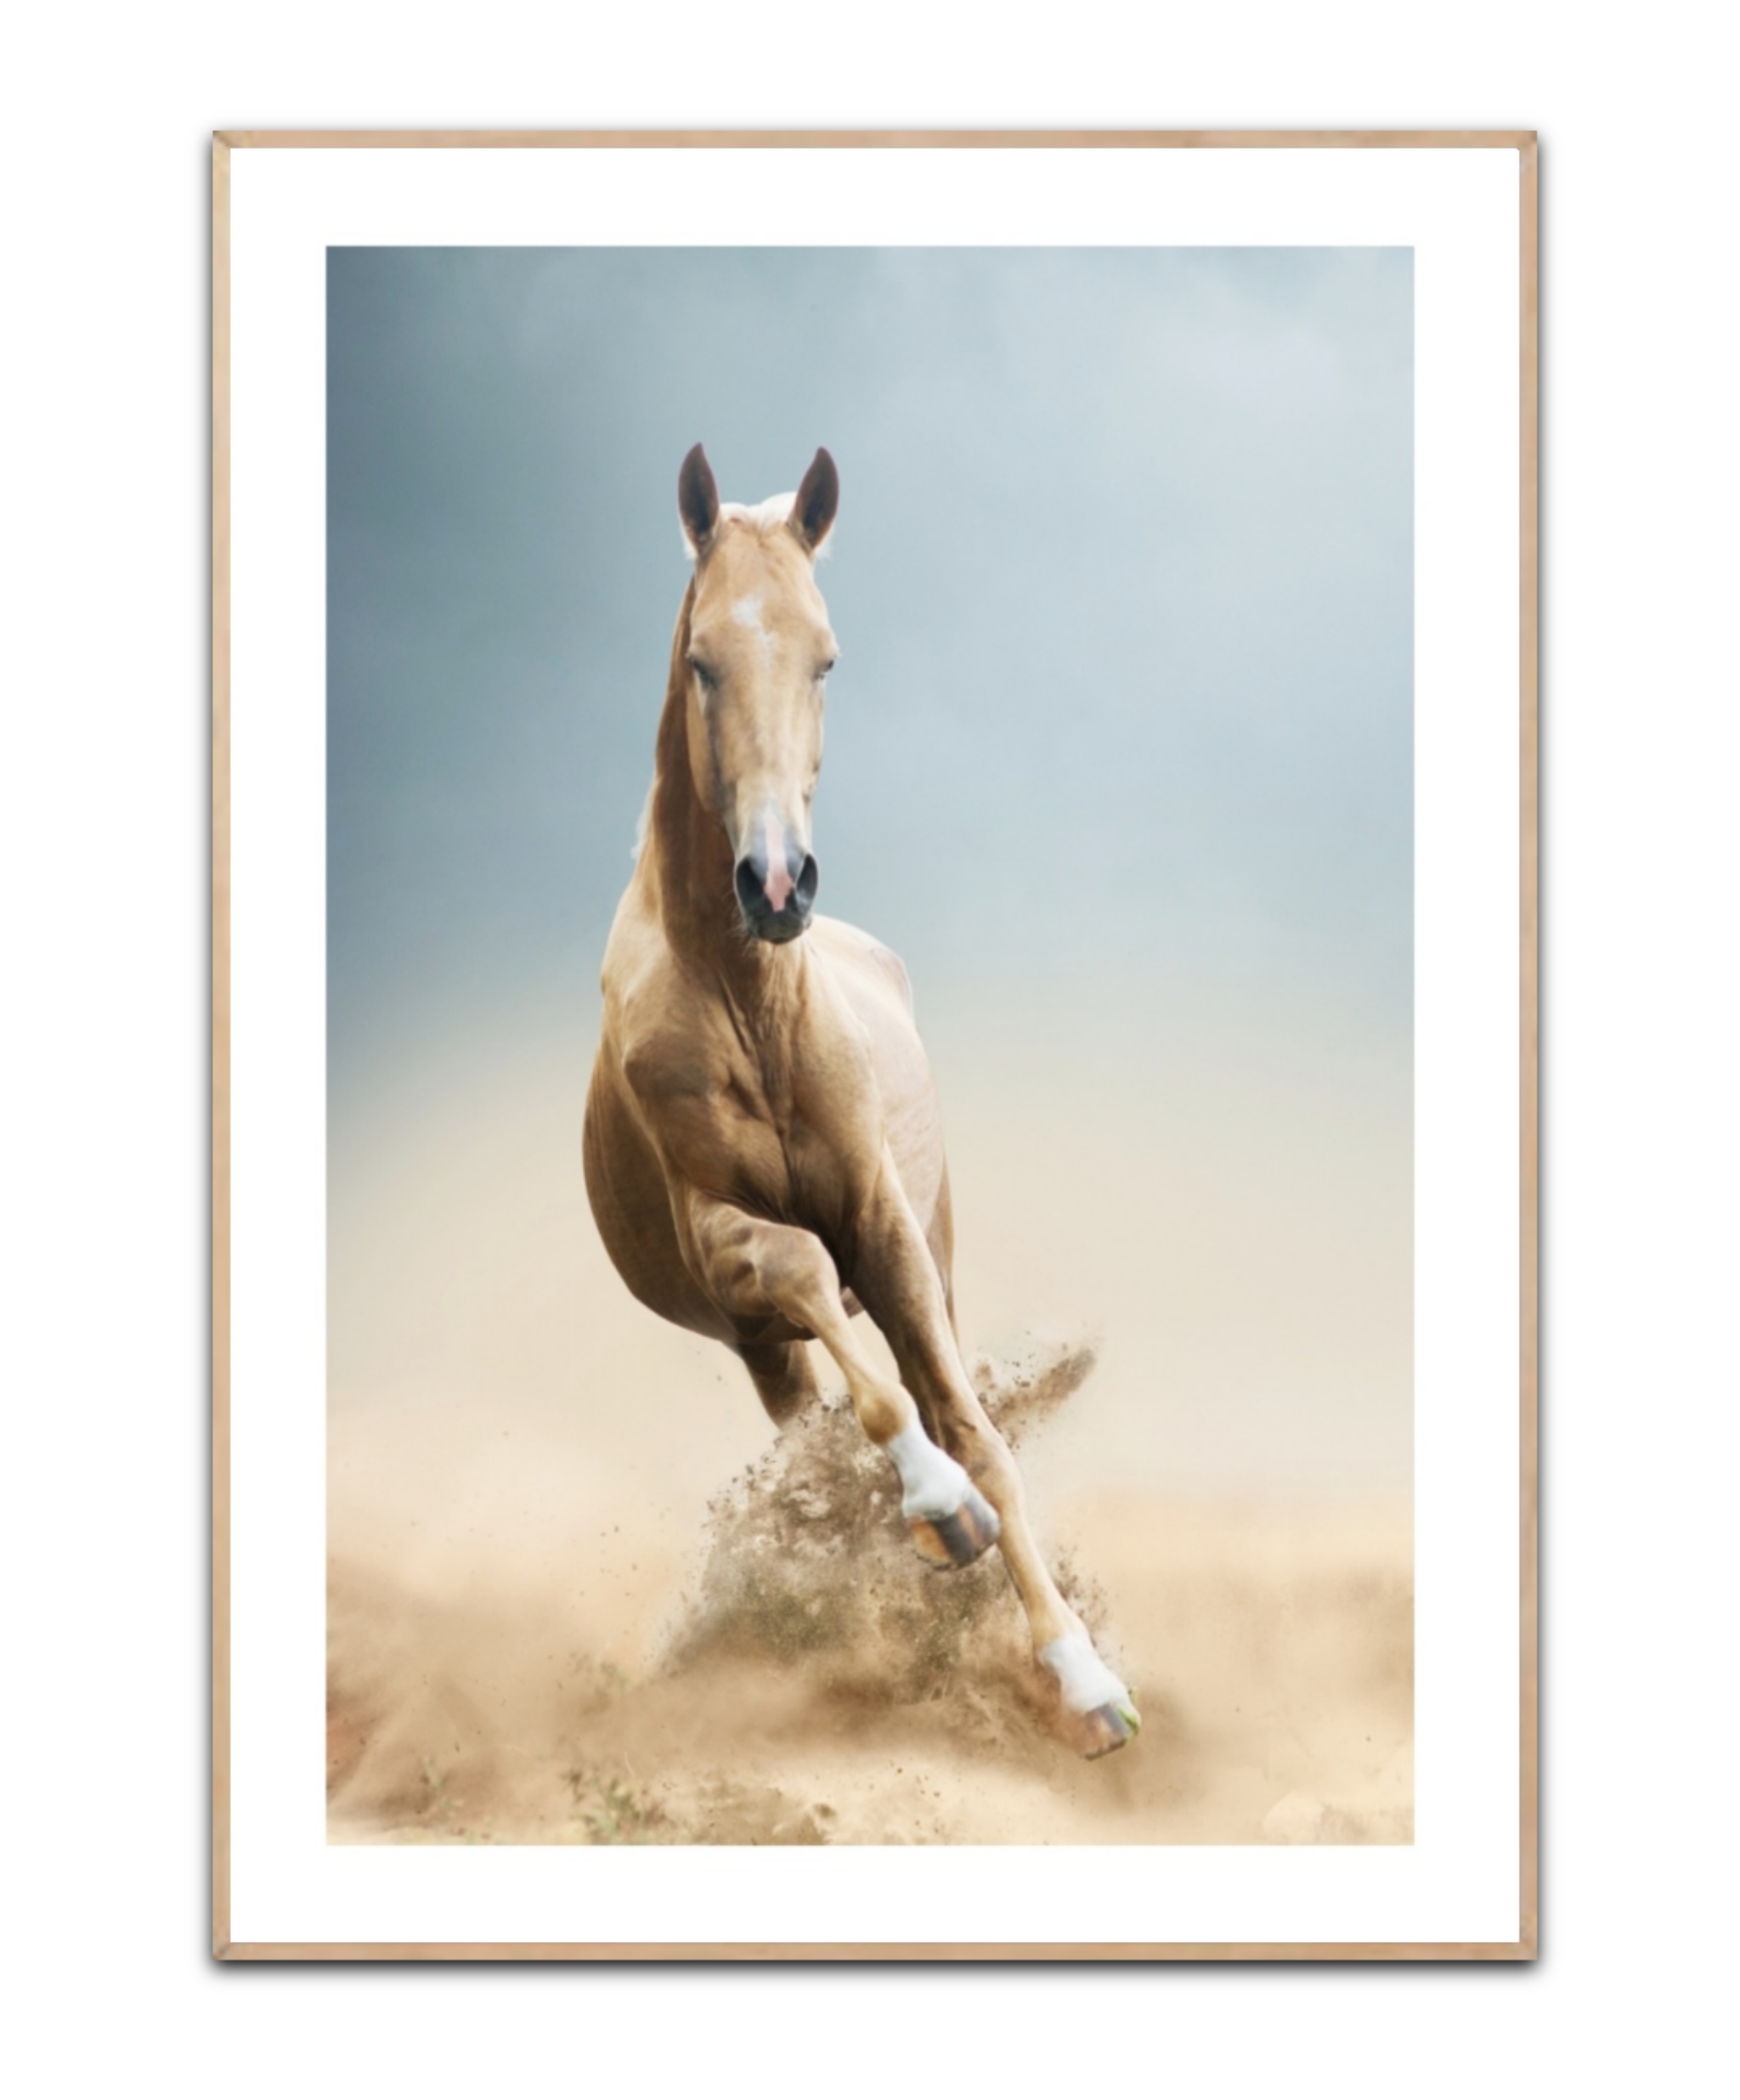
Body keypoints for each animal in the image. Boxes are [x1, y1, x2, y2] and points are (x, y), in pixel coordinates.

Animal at [582, 445, 1140, 1757]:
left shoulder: (889, 1233)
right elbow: (803, 1281)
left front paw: (1086, 1681)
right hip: (755, 1344)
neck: (747, 1000)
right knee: (815, 1397)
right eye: (702, 660)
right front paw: (939, 1512)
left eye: (825, 655)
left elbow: (977, 1430)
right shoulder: (719, 1236)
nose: (776, 882)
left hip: (923, 1251)